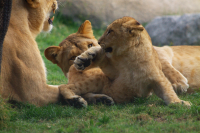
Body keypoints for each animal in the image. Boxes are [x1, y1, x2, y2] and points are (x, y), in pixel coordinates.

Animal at [45, 18, 192, 106]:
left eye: (90, 44)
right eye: (71, 57)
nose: (79, 58)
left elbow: (164, 71)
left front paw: (179, 86)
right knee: (63, 87)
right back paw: (78, 101)